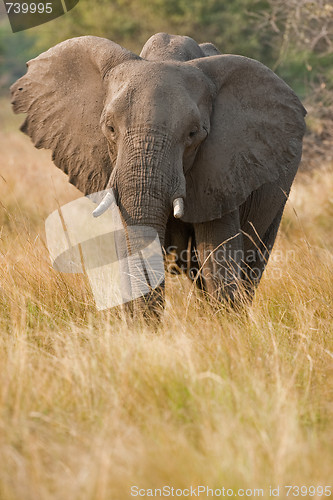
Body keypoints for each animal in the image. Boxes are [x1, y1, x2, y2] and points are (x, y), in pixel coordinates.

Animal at [11, 33, 306, 318]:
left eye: (193, 134)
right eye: (110, 128)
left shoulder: (222, 171)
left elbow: (217, 256)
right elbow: (127, 248)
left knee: (250, 266)